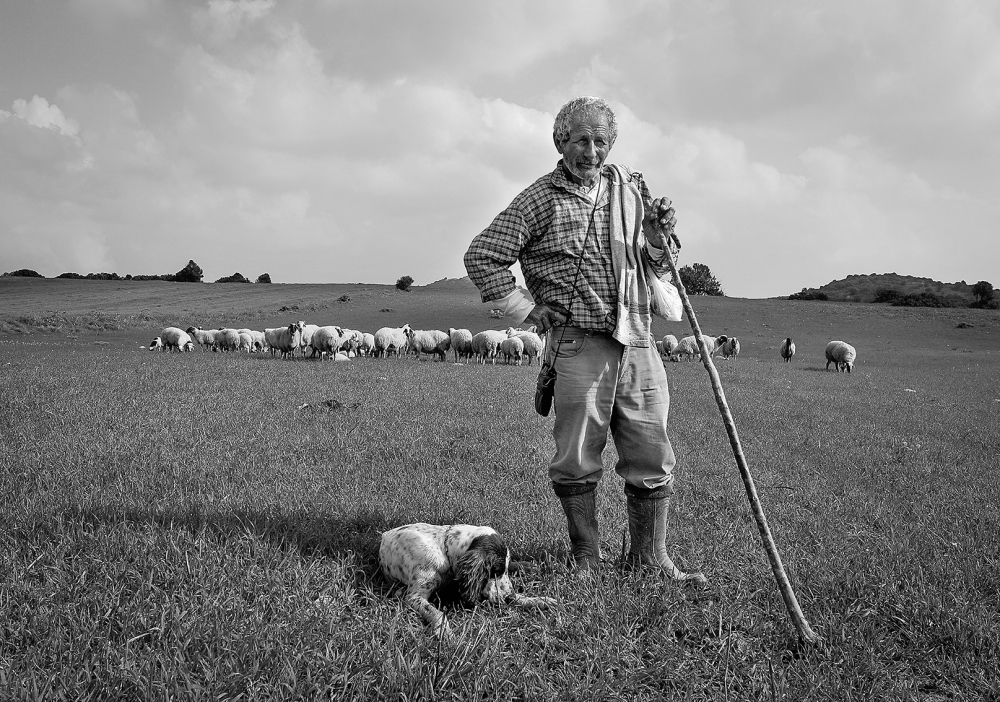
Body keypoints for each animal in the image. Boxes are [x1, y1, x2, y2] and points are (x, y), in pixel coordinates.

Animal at [380, 524, 560, 640]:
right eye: (496, 571)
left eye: (502, 570)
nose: (509, 597)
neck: (444, 550)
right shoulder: (414, 596)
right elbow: (437, 613)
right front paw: (444, 632)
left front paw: (538, 600)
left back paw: (527, 565)